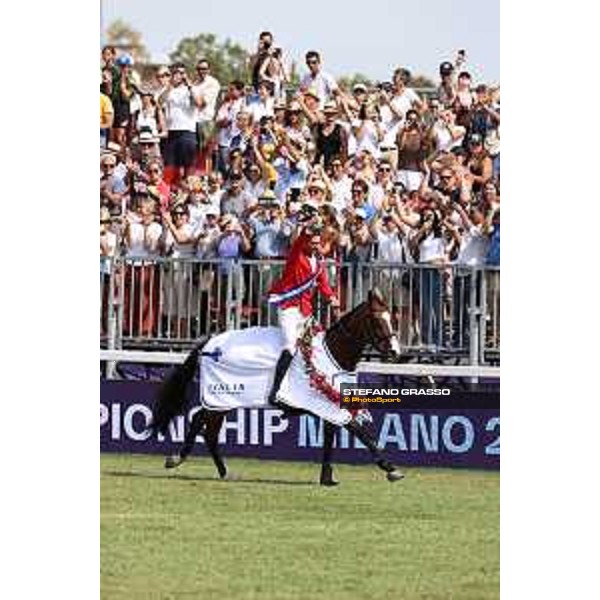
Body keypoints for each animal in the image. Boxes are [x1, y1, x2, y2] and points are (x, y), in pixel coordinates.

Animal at [149, 288, 404, 486]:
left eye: (392, 318)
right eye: (377, 320)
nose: (395, 352)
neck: (333, 353)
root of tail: (209, 342)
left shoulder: (332, 407)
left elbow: (331, 439)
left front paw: (327, 477)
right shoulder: (327, 405)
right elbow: (363, 434)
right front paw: (391, 468)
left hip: (224, 402)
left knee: (208, 431)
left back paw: (224, 472)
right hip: (219, 399)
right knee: (199, 421)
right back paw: (178, 458)